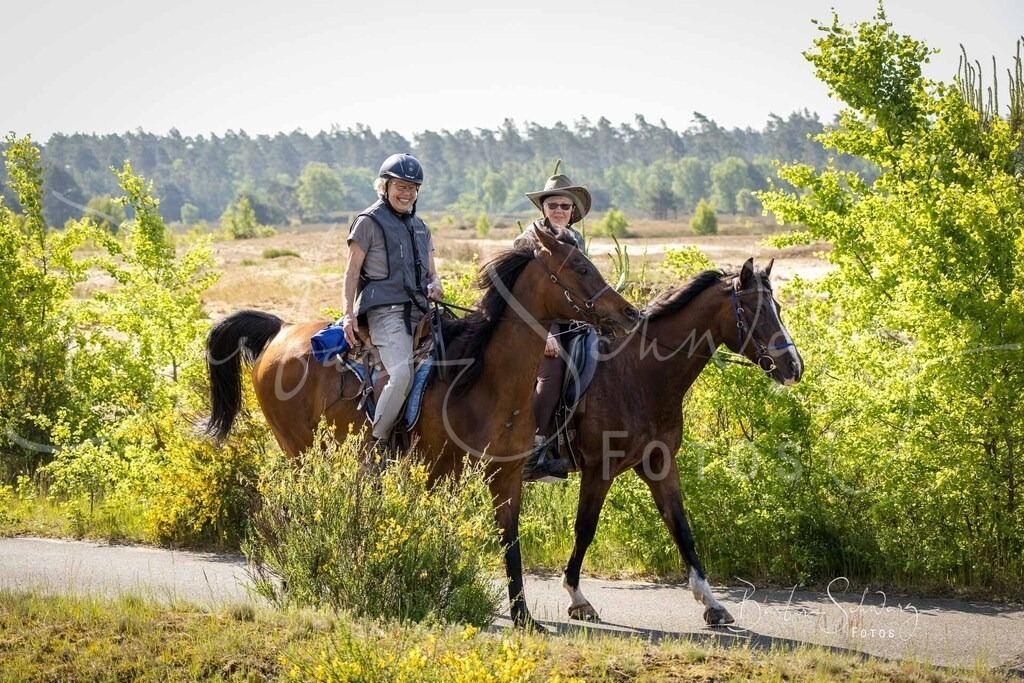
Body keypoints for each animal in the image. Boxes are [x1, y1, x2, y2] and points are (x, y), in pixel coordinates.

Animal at [204, 227, 639, 629]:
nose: (629, 314)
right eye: (581, 267)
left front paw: (523, 617)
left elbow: (510, 545)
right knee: (296, 508)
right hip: (300, 451)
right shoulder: (437, 473)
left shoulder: (506, 475)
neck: (483, 381)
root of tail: (280, 331)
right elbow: (438, 534)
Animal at [558, 257, 803, 626]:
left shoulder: (659, 465)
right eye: (755, 310)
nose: (794, 367)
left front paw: (712, 603)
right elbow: (585, 529)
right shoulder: (599, 470)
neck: (637, 374)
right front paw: (577, 598)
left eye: (777, 308)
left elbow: (681, 528)